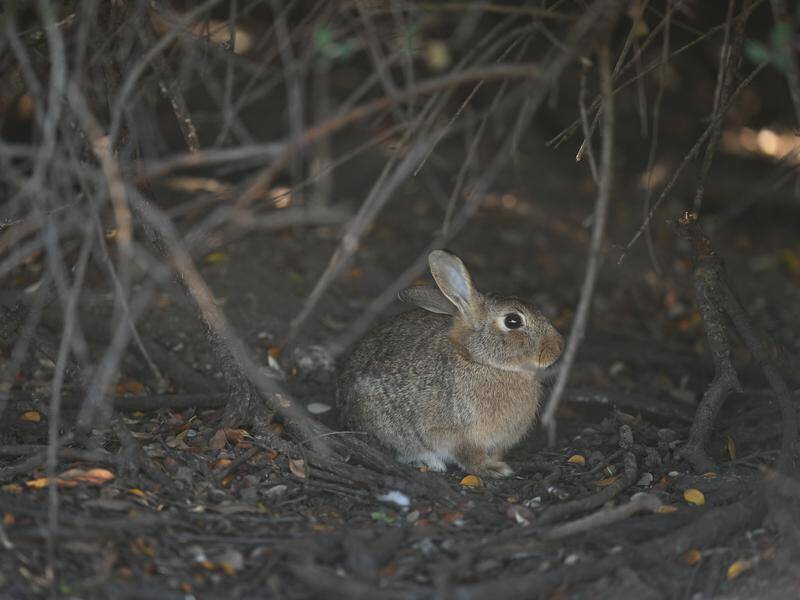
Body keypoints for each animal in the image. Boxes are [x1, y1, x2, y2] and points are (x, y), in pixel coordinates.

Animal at [337, 249, 564, 478]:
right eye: (513, 321)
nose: (558, 348)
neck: (479, 361)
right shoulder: (458, 435)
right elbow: (468, 456)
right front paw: (493, 469)